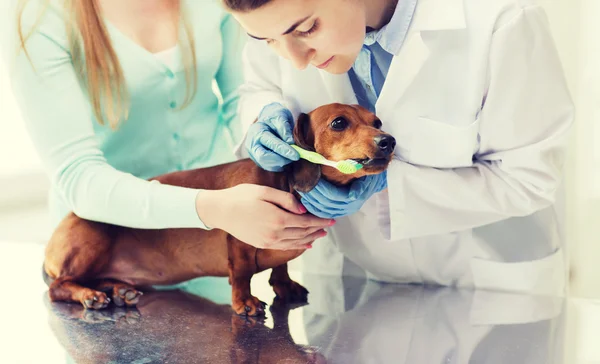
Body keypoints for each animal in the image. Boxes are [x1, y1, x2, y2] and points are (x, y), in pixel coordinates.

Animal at [43, 102, 398, 316]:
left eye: (377, 121)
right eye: (339, 122)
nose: (388, 141)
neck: (282, 181)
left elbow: (280, 267)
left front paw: (284, 285)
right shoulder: (240, 242)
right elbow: (241, 274)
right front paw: (245, 303)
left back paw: (120, 291)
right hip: (92, 239)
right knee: (58, 287)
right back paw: (89, 295)